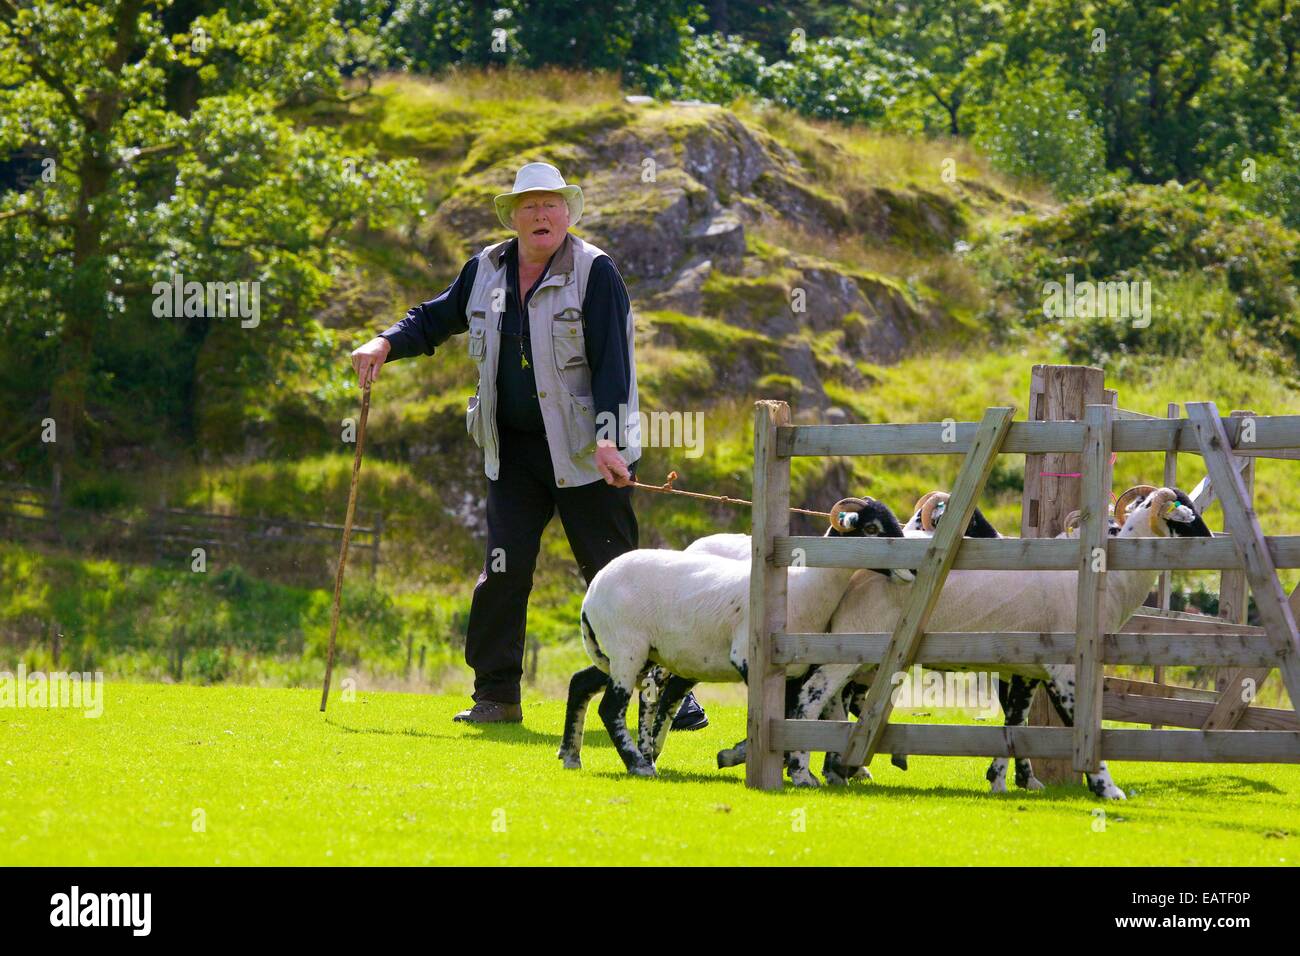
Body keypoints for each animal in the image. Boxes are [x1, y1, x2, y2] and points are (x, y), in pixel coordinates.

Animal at [780, 489, 1216, 796]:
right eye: (1188, 515)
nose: (1213, 538)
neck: (1112, 583)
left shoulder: (1025, 670)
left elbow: (1014, 724)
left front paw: (1005, 780)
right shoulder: (1066, 668)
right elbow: (1079, 726)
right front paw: (1107, 789)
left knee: (831, 703)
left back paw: (834, 768)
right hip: (848, 648)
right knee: (810, 699)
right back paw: (803, 773)